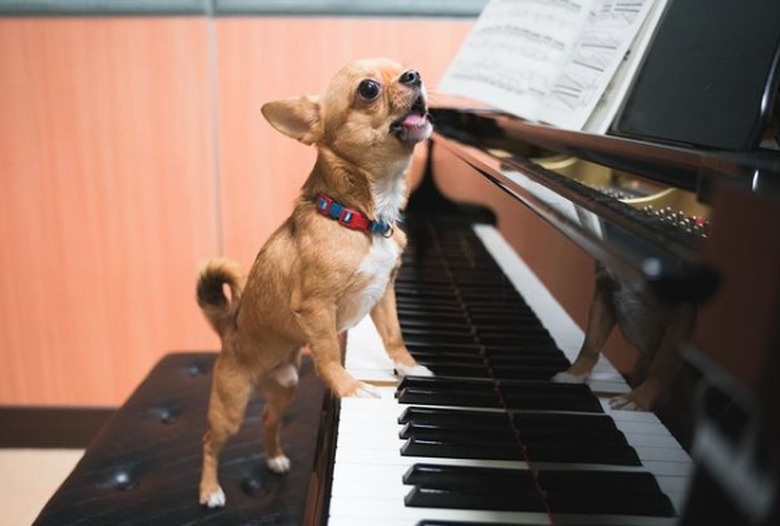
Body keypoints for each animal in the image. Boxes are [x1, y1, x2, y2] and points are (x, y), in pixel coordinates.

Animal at [197, 58, 432, 512]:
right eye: (369, 89)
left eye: (404, 69)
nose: (415, 75)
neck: (362, 218)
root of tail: (228, 328)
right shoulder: (316, 308)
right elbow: (328, 354)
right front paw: (350, 387)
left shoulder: (384, 293)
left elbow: (394, 335)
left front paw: (409, 364)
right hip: (230, 405)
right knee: (210, 440)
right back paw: (209, 489)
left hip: (283, 387)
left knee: (268, 420)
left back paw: (274, 458)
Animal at [556, 264, 696, 412]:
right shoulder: (604, 289)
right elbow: (591, 342)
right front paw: (575, 373)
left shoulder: (681, 314)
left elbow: (661, 367)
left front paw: (637, 399)